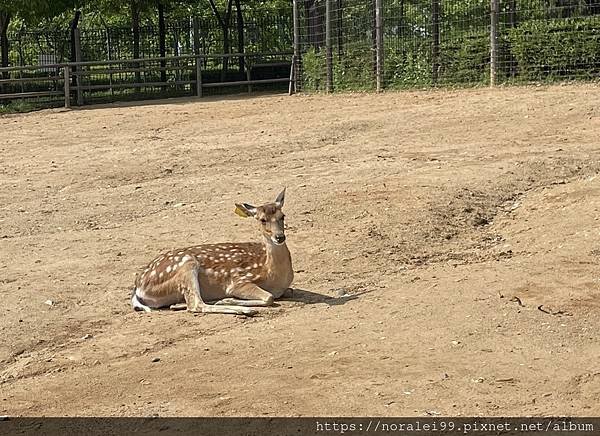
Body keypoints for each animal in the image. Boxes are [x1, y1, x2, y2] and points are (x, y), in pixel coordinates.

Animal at [131, 189, 292, 316]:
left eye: (282, 216)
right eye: (262, 220)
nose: (279, 237)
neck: (272, 275)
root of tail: (138, 287)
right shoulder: (239, 281)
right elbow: (269, 297)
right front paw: (228, 299)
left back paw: (180, 304)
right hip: (186, 265)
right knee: (195, 304)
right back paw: (243, 310)